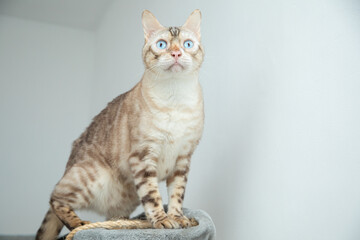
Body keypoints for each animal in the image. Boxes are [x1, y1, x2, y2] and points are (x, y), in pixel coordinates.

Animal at [36, 9, 205, 240]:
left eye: (188, 44)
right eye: (162, 44)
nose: (177, 53)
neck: (176, 98)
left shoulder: (183, 160)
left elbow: (177, 195)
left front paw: (178, 218)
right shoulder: (143, 156)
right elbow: (153, 196)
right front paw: (162, 221)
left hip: (126, 198)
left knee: (112, 216)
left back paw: (121, 224)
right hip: (90, 177)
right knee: (55, 198)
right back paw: (80, 223)